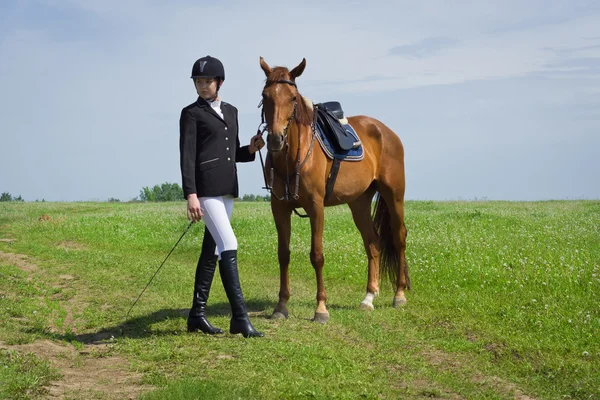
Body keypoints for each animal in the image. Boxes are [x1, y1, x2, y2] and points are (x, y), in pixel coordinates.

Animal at [258, 57, 408, 324]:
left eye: (293, 98)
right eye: (265, 96)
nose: (275, 139)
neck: (293, 156)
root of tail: (386, 132)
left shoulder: (316, 207)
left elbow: (317, 256)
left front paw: (321, 309)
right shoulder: (279, 208)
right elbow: (283, 254)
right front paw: (281, 306)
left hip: (394, 196)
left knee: (399, 238)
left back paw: (399, 295)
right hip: (359, 203)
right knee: (373, 243)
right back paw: (368, 298)